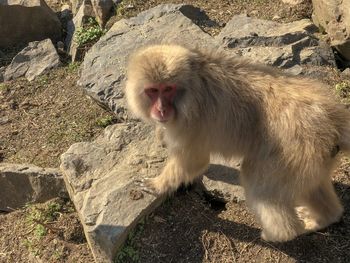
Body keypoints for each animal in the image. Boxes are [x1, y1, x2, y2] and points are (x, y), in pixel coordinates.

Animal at [124, 43, 350, 243]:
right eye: (153, 91)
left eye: (168, 89)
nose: (161, 110)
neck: (192, 82)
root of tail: (332, 117)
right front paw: (160, 134)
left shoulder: (190, 123)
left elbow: (193, 161)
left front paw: (158, 185)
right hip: (315, 156)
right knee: (314, 186)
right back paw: (323, 219)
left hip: (293, 148)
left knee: (258, 181)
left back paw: (277, 235)